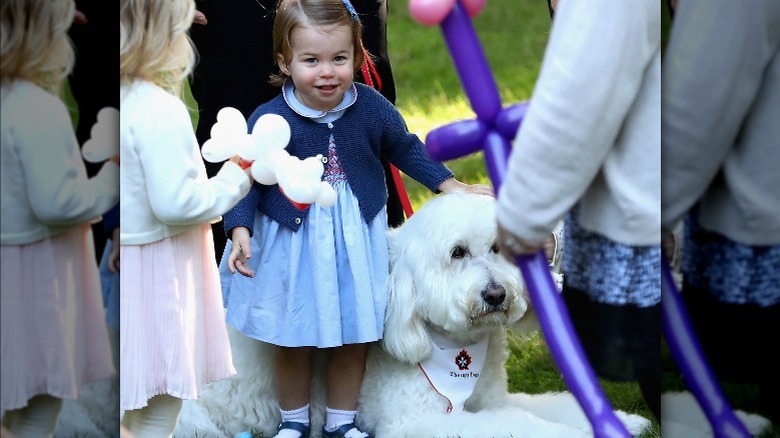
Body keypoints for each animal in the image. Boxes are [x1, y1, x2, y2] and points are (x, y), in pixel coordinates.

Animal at [174, 193, 648, 436]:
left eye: (498, 248)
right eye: (457, 253)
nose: (496, 294)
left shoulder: (494, 400)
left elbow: (553, 405)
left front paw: (623, 421)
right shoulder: (421, 422)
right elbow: (524, 428)